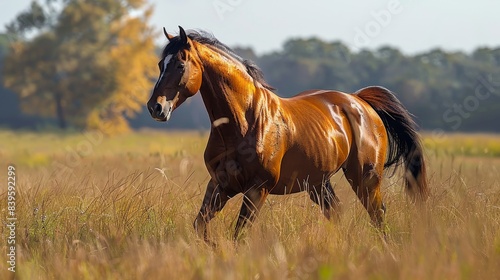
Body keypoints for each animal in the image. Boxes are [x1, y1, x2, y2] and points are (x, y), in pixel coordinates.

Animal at [146, 26, 430, 243]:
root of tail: (360, 101)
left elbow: (238, 235)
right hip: (318, 184)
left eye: (180, 64)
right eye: (160, 64)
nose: (155, 107)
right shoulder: (220, 185)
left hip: (364, 178)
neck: (244, 122)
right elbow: (201, 227)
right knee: (337, 213)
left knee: (377, 214)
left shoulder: (257, 190)